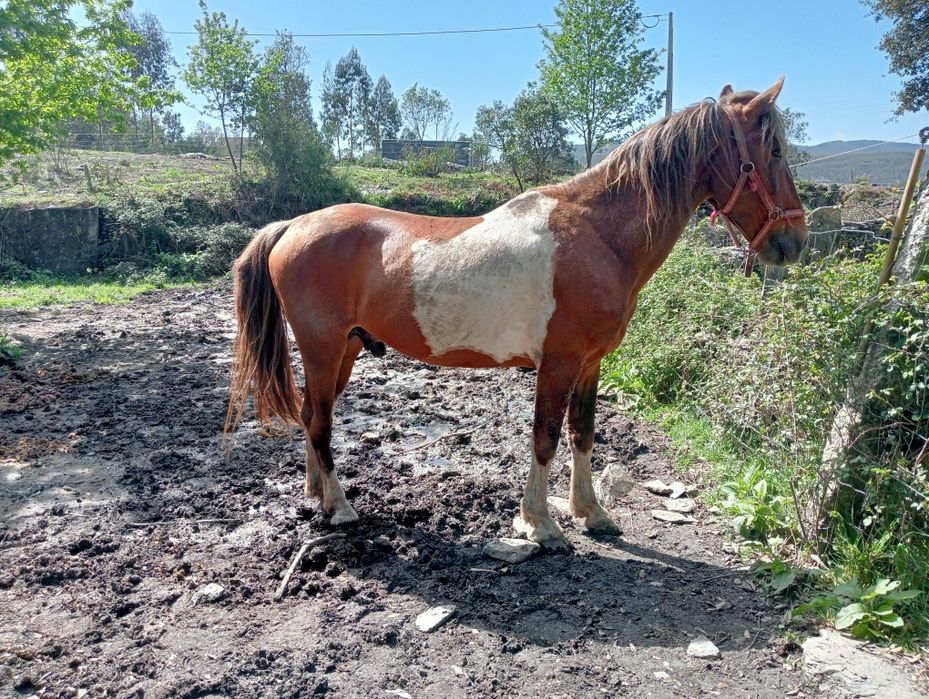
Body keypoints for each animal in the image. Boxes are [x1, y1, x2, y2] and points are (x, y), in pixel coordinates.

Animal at [226, 79, 808, 548]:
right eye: (774, 148)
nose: (795, 242)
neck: (597, 235)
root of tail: (292, 225)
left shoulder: (591, 363)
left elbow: (582, 433)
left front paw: (591, 513)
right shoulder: (558, 362)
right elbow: (544, 436)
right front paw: (541, 525)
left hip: (345, 350)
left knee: (311, 415)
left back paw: (317, 497)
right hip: (324, 350)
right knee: (320, 421)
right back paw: (342, 507)